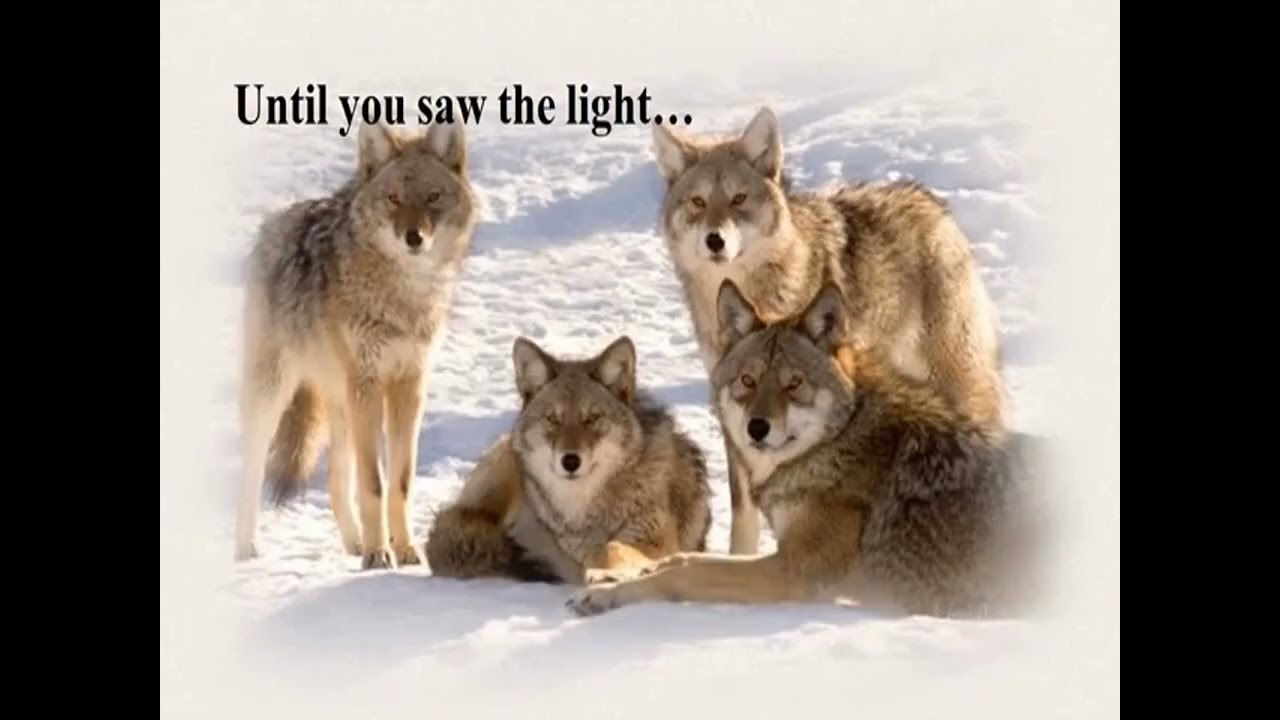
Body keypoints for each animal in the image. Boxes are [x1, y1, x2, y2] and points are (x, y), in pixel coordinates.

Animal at [233, 120, 479, 570]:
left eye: (432, 197)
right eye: (394, 198)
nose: (413, 238)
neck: (403, 297)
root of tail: (274, 222)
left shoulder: (409, 385)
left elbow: (400, 481)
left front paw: (404, 549)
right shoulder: (369, 383)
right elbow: (374, 484)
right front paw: (380, 554)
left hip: (342, 405)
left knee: (334, 479)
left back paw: (354, 543)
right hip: (275, 395)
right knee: (253, 468)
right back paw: (247, 547)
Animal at [425, 336, 713, 584]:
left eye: (591, 418)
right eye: (553, 419)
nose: (570, 461)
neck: (583, 512)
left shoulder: (654, 540)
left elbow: (613, 549)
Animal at [566, 281, 1048, 618]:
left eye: (793, 384)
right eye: (748, 381)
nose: (757, 428)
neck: (840, 441)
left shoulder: (793, 573)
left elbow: (688, 571)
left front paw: (610, 592)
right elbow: (683, 556)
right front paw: (613, 574)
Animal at [651, 106, 1007, 555]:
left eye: (738, 199)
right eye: (697, 202)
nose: (715, 241)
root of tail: (928, 200)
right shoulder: (732, 395)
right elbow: (743, 507)